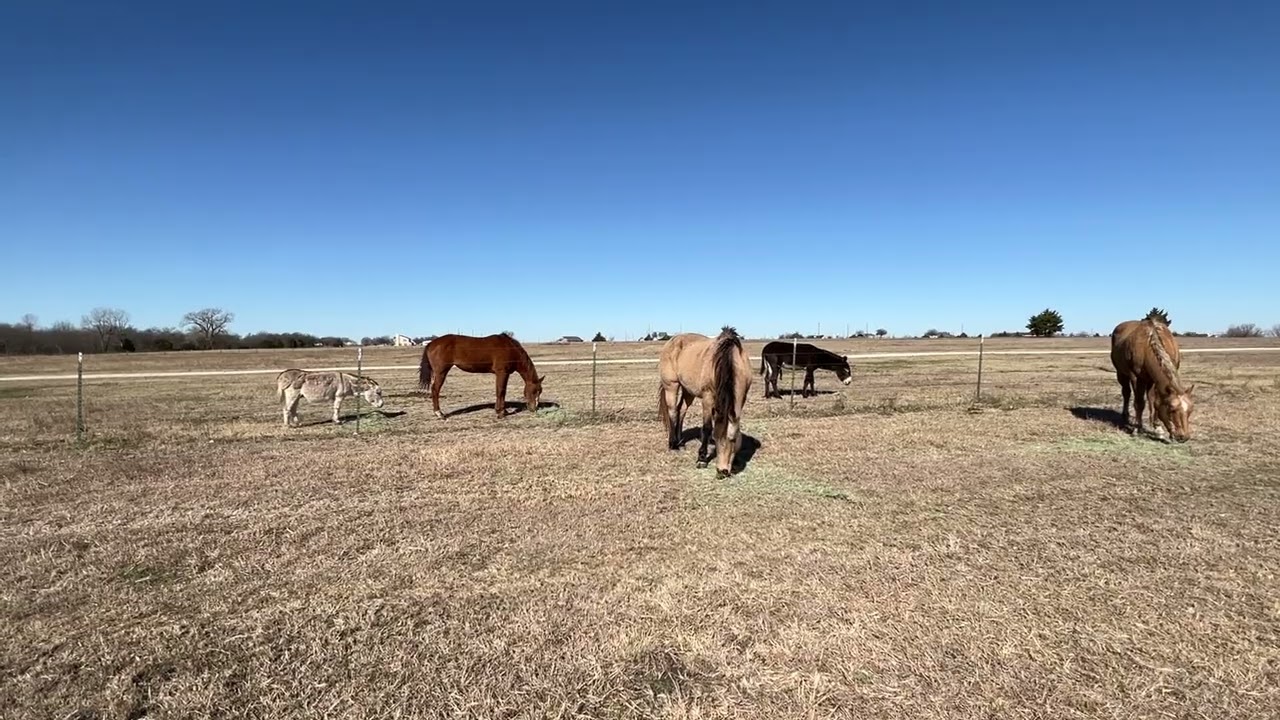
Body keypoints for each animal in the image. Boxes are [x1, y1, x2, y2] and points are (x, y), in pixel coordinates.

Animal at [658, 326, 753, 478]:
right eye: (716, 439)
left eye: (732, 440)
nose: (722, 470)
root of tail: (672, 340)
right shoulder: (708, 399)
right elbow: (707, 427)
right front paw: (701, 458)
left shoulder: (741, 398)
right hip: (671, 386)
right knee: (672, 411)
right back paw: (673, 444)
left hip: (688, 390)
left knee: (681, 410)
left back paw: (680, 442)